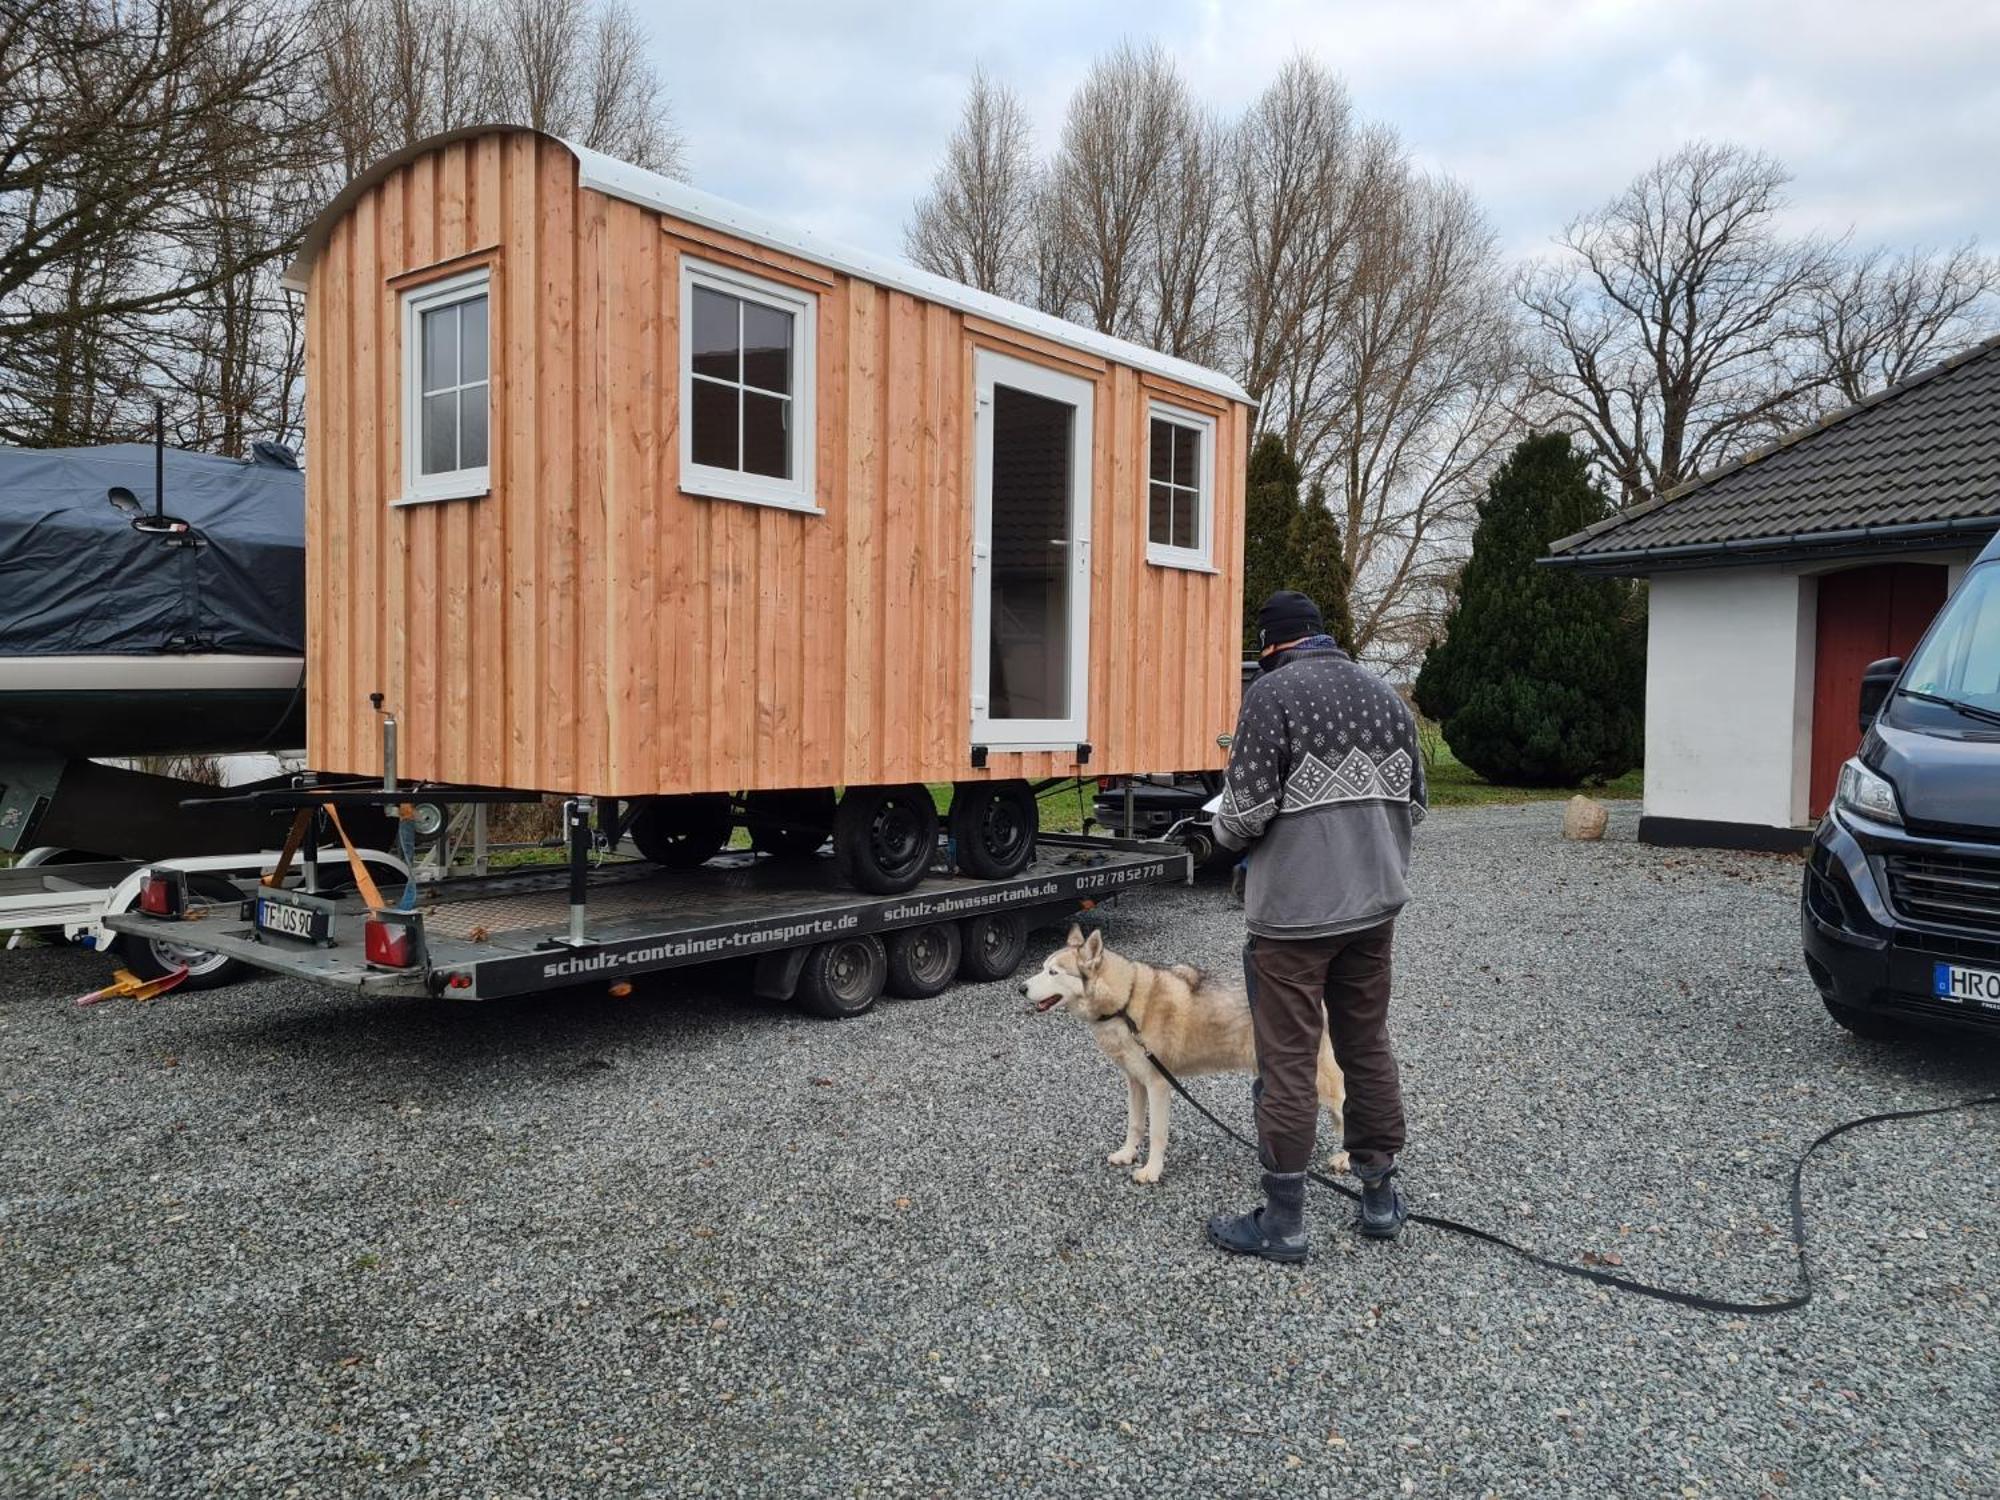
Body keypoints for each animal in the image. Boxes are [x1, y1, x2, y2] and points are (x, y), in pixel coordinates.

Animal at [1032, 928, 1344, 1184]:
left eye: (1053, 973)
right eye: (1042, 968)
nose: (1023, 987)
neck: (1126, 1002)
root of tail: (1319, 999)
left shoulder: (1158, 1086)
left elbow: (1157, 1134)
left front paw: (1151, 1171)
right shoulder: (1135, 1082)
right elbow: (1134, 1125)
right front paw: (1127, 1154)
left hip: (1320, 1083)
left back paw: (1345, 1159)